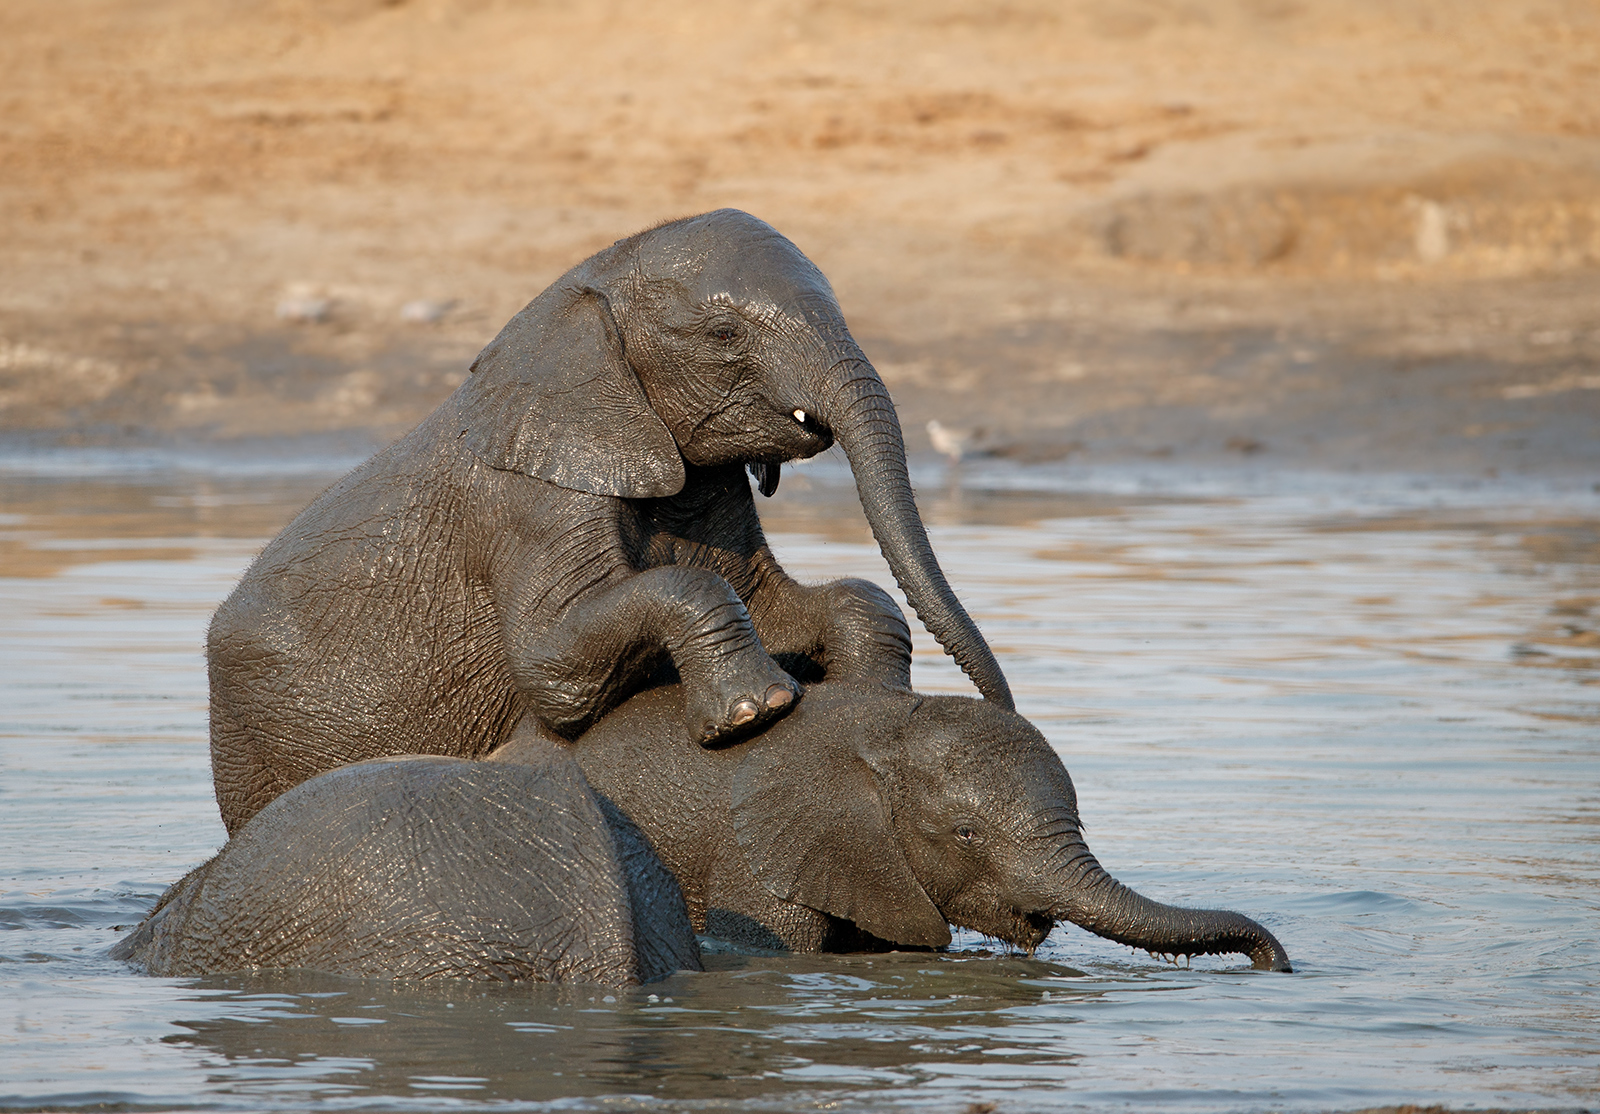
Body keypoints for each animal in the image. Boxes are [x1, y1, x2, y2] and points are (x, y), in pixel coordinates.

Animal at [208, 208, 1011, 835]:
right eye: (724, 335)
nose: (1003, 710)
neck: (582, 290)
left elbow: (789, 600)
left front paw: (875, 694)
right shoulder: (536, 504)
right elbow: (553, 667)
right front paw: (755, 713)